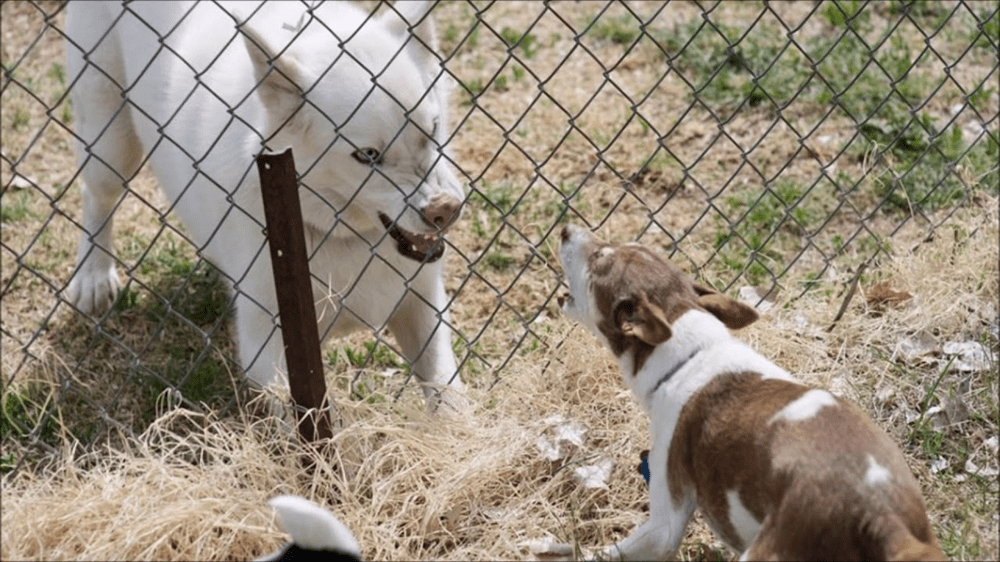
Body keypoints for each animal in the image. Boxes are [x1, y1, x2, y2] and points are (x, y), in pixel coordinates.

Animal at [64, 2, 466, 410]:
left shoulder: (424, 308)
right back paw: (93, 277)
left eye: (432, 128)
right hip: (109, 144)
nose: (446, 210)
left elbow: (448, 399)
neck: (333, 233)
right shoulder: (266, 348)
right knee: (96, 198)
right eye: (367, 155)